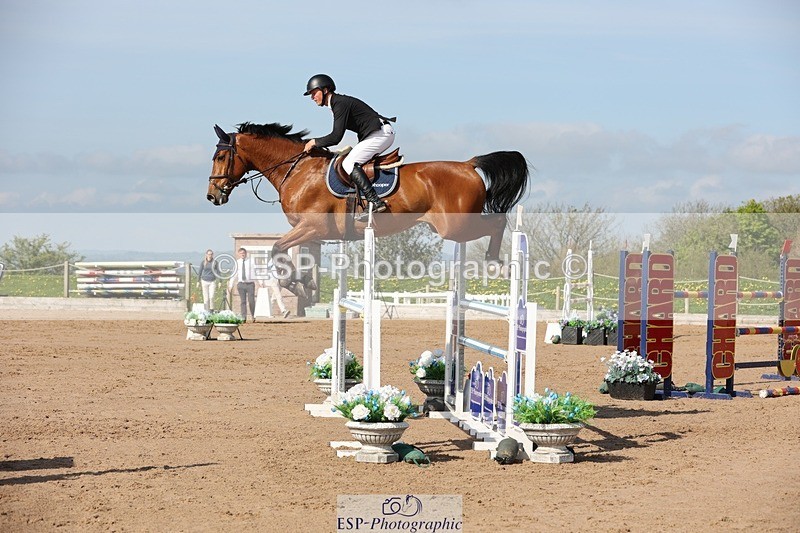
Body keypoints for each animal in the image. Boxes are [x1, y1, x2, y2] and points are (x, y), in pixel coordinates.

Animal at [207, 122, 529, 296]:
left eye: (221, 157)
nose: (212, 196)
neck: (298, 170)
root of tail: (468, 165)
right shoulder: (311, 232)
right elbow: (285, 253)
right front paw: (304, 282)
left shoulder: (313, 226)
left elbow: (277, 249)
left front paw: (295, 285)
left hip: (456, 226)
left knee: (497, 222)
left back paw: (495, 262)